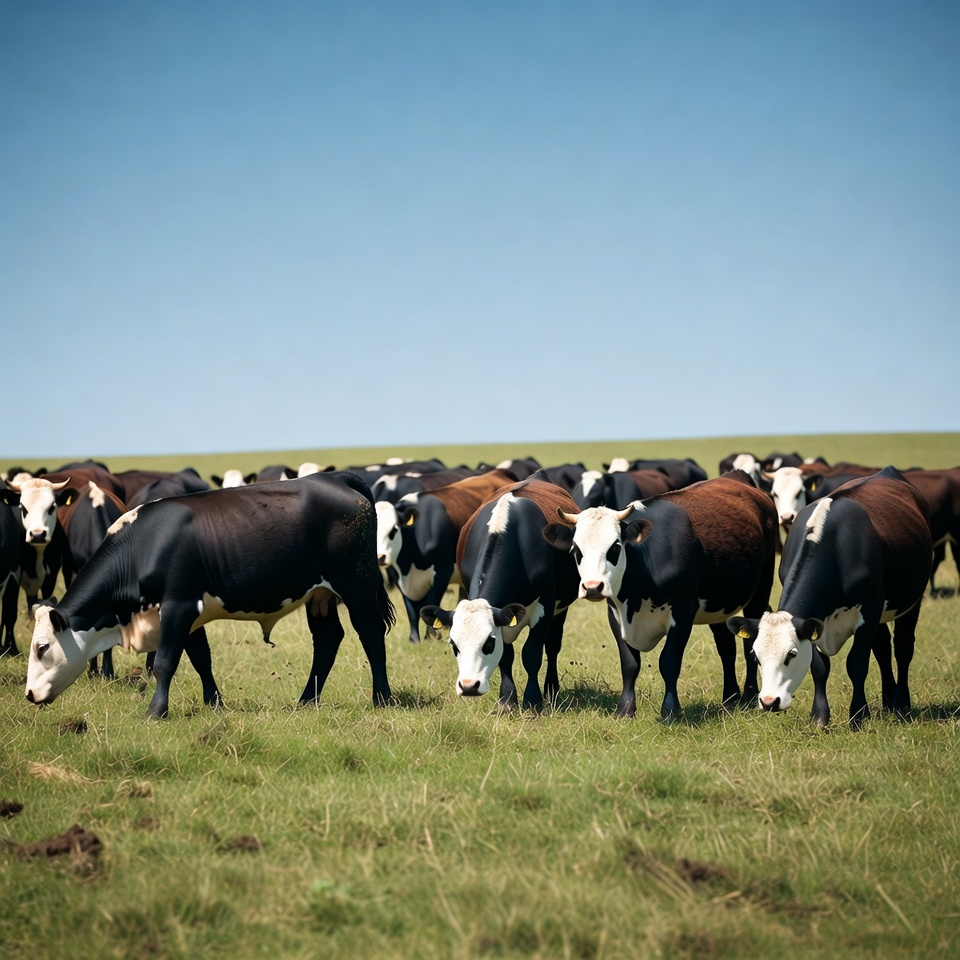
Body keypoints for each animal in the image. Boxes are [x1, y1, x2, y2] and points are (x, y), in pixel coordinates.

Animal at [24, 472, 395, 719]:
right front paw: (214, 703)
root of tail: (336, 478)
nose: (28, 694)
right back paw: (306, 701)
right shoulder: (186, 612)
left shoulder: (179, 606)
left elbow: (165, 662)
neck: (144, 546)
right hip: (319, 596)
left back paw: (383, 698)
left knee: (371, 633)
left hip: (356, 585)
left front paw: (155, 712)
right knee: (328, 640)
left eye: (42, 647)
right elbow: (201, 658)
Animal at [376, 469, 519, 642]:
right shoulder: (399, 576)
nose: (380, 557)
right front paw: (414, 639)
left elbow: (429, 603)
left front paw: (430, 637)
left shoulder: (442, 572)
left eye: (393, 529)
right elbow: (411, 609)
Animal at [420, 474, 581, 711]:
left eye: (488, 643)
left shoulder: (546, 605)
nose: (469, 686)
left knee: (552, 646)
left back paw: (552, 691)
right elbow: (507, 657)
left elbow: (532, 653)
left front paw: (533, 701)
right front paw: (507, 700)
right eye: (454, 645)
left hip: (561, 608)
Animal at [543, 472, 778, 721]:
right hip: (719, 604)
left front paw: (670, 711)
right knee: (726, 647)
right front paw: (625, 710)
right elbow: (630, 664)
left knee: (750, 642)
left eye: (615, 547)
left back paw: (750, 694)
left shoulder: (683, 613)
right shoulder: (616, 614)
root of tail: (738, 477)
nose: (593, 587)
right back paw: (730, 697)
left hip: (759, 593)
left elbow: (669, 662)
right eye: (576, 550)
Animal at [726, 467, 932, 730]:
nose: (769, 701)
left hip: (911, 601)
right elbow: (820, 667)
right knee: (883, 648)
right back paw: (888, 701)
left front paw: (858, 716)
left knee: (903, 648)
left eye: (791, 654)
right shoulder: (817, 619)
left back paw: (901, 703)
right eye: (756, 656)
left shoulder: (870, 609)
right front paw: (819, 716)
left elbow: (857, 663)